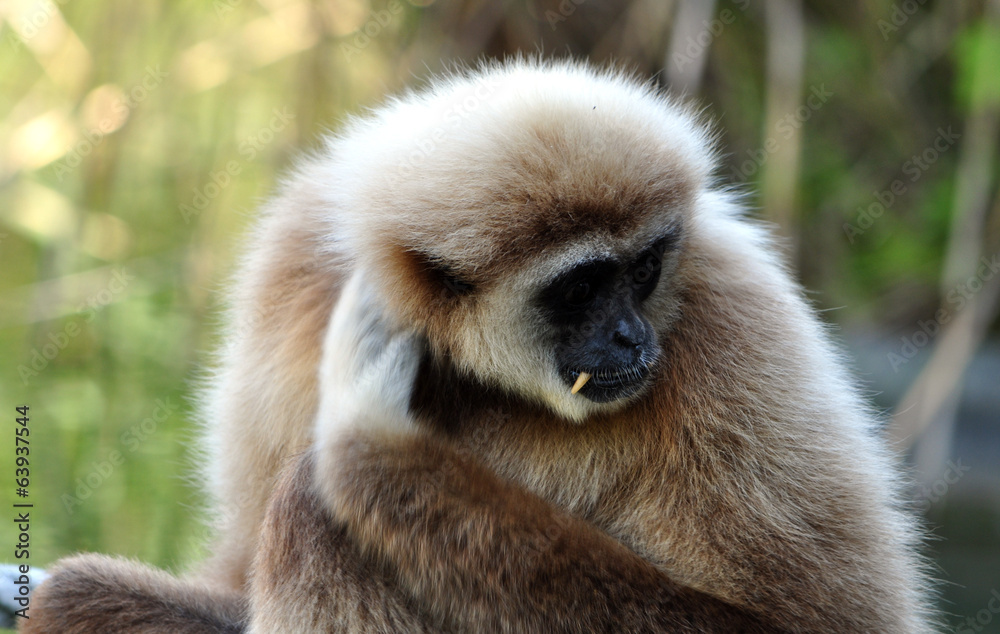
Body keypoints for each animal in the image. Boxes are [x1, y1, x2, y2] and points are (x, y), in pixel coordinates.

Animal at [24, 58, 937, 633]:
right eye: (579, 288)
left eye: (645, 268)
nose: (632, 334)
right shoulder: (289, 286)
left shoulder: (733, 312)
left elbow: (813, 621)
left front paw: (372, 444)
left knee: (315, 506)